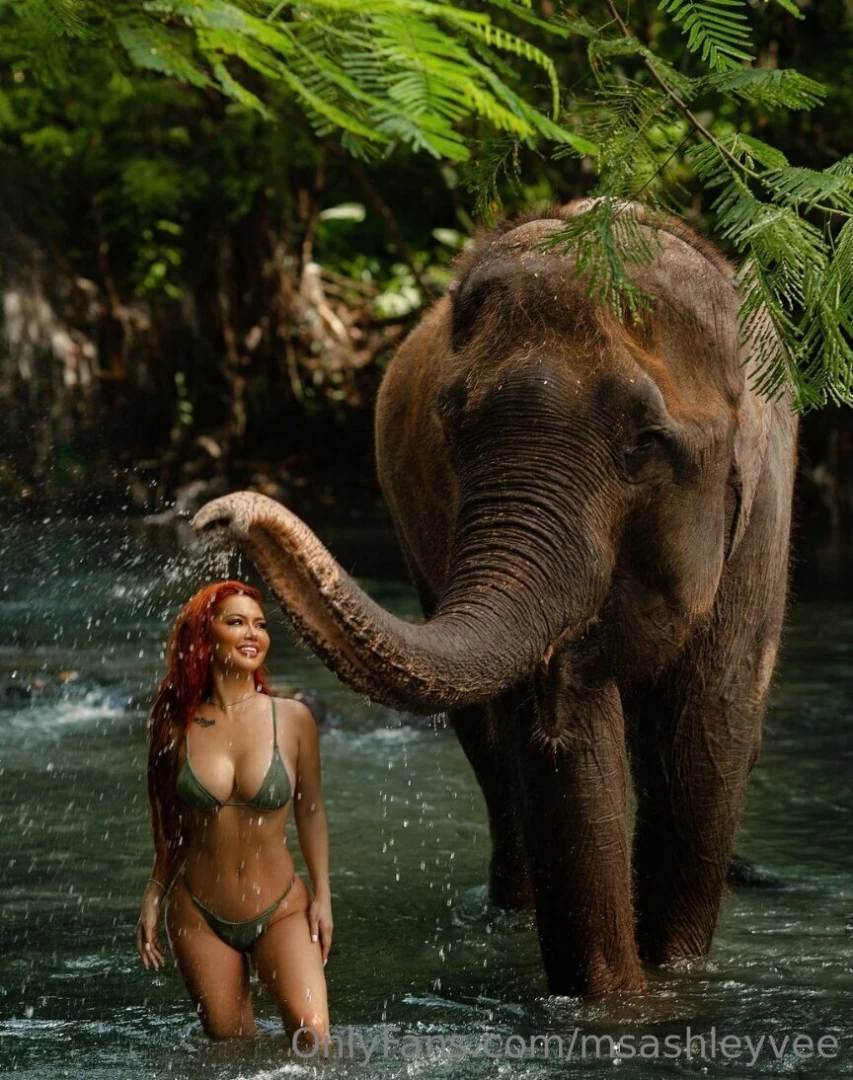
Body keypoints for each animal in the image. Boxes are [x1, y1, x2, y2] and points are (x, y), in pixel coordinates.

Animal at [193, 200, 797, 998]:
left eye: (643, 441)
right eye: (452, 422)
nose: (216, 515)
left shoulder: (762, 519)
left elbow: (708, 733)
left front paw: (672, 983)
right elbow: (570, 759)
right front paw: (615, 1004)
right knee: (487, 741)